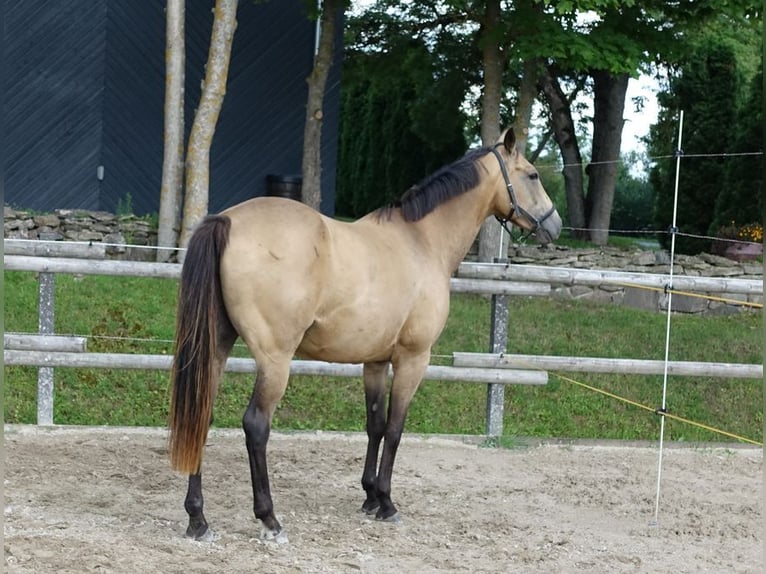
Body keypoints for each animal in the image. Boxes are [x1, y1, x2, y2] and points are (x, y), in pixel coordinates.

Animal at [168, 127, 564, 544]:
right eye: (533, 175)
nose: (555, 225)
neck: (421, 241)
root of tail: (225, 220)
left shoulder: (374, 362)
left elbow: (374, 425)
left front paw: (370, 497)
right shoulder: (412, 359)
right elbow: (395, 428)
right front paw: (387, 503)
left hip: (216, 349)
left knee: (201, 416)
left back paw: (198, 519)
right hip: (275, 360)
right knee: (256, 425)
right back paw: (269, 519)